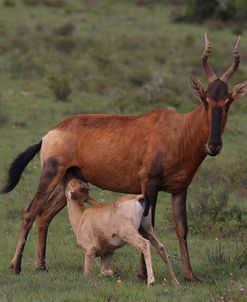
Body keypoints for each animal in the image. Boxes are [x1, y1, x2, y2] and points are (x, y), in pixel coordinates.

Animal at [0, 34, 247, 282]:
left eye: (227, 102)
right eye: (205, 100)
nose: (214, 145)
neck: (178, 130)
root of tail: (49, 134)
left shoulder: (180, 190)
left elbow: (182, 228)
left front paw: (190, 275)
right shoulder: (149, 185)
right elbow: (147, 226)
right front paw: (143, 274)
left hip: (69, 183)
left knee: (45, 215)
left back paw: (41, 265)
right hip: (50, 174)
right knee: (30, 212)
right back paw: (16, 266)